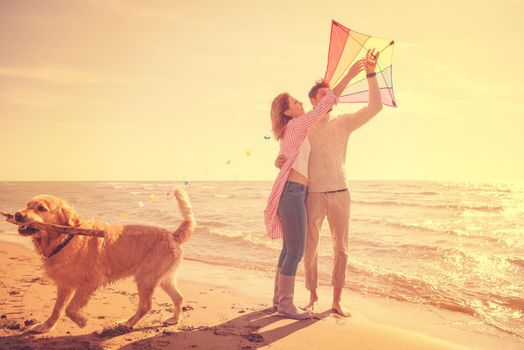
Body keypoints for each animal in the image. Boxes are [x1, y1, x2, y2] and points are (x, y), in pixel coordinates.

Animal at [13, 189, 194, 334]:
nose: (17, 214)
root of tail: (172, 234)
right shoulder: (65, 284)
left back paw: (128, 323)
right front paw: (46, 326)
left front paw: (82, 321)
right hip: (161, 278)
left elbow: (70, 308)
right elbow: (57, 308)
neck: (66, 238)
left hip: (146, 278)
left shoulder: (91, 281)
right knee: (178, 297)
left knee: (146, 305)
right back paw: (174, 319)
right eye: (28, 204)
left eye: (41, 208)